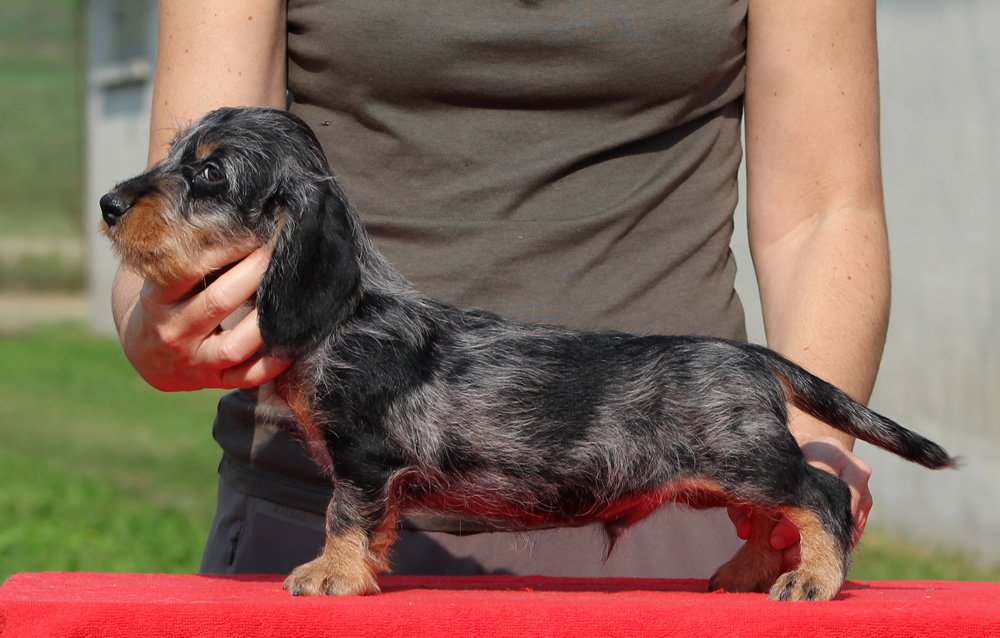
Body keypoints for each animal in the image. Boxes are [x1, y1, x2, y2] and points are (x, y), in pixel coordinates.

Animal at [97, 106, 956, 604]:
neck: (348, 312)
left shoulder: (365, 459)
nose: (107, 203)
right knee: (768, 519)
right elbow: (371, 526)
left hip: (748, 459)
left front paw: (331, 577)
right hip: (733, 475)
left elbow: (345, 516)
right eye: (173, 155)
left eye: (209, 172)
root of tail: (753, 356)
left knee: (821, 495)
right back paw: (747, 575)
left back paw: (812, 577)